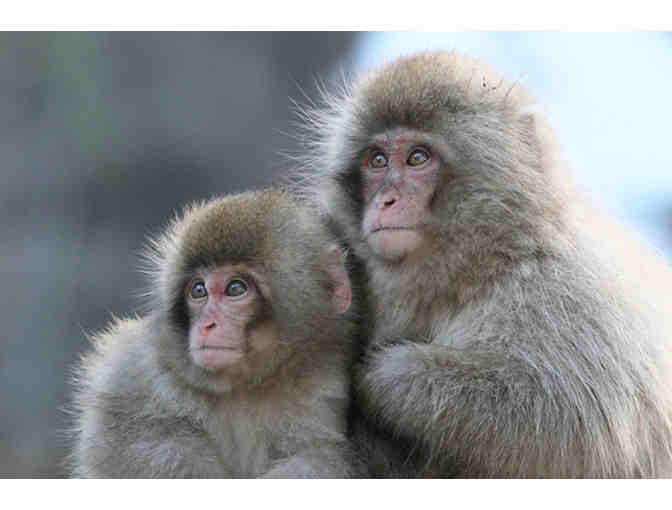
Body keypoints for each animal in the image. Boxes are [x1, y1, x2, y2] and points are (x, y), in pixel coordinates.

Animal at [69, 189, 361, 477]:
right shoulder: (136, 367)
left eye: (235, 288)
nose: (207, 324)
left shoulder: (322, 384)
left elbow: (317, 454)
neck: (248, 386)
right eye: (198, 290)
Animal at [295, 51, 672, 477]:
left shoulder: (570, 292)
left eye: (417, 158)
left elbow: (570, 418)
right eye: (376, 161)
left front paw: (386, 376)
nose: (386, 200)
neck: (483, 263)